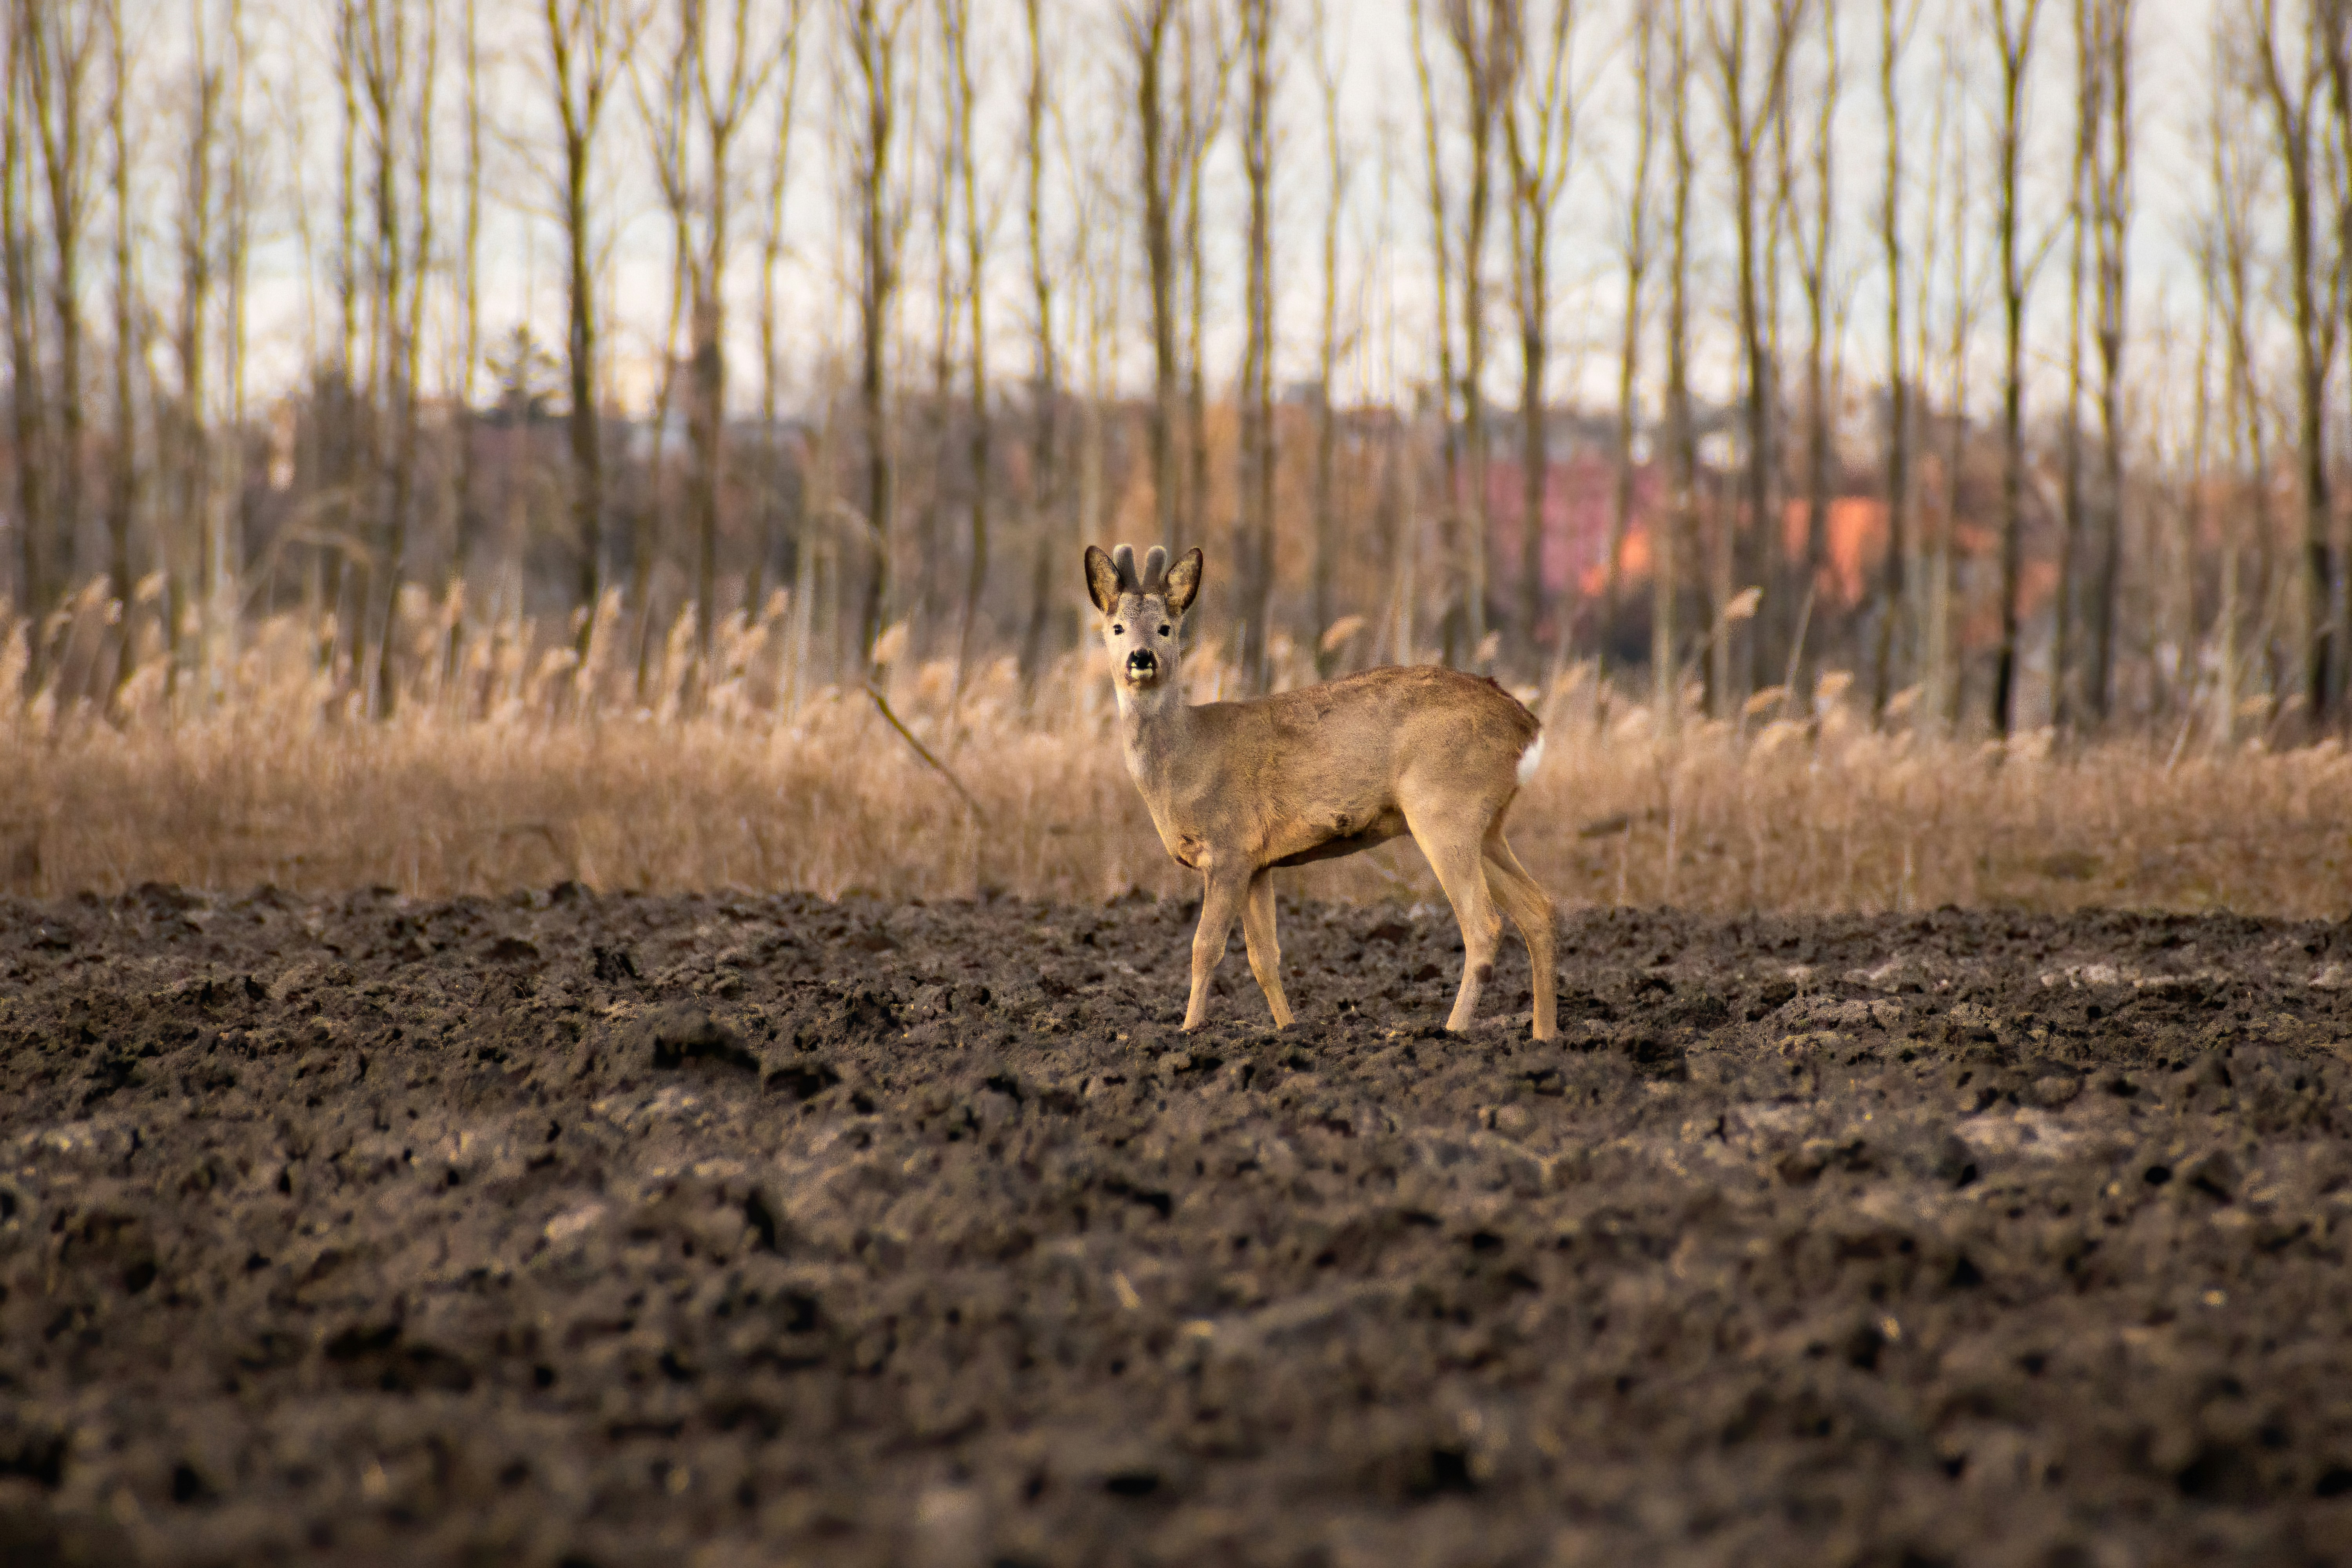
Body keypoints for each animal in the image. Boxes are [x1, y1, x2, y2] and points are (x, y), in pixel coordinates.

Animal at [1085, 542, 1557, 1041]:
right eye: (1116, 627)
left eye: (1166, 627)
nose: (1141, 657)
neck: (1186, 759)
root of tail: (1527, 725)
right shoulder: (1258, 862)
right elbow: (1264, 958)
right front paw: (1289, 1029)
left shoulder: (1229, 847)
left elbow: (1205, 947)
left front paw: (1189, 1029)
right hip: (1488, 824)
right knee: (1540, 911)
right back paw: (1544, 1035)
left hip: (1445, 808)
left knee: (1485, 925)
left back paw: (1452, 1030)